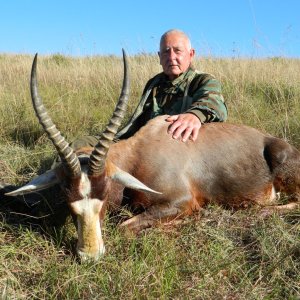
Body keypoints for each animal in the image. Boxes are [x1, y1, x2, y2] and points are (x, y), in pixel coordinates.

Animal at [5, 49, 298, 260]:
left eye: (105, 194)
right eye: (68, 198)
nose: (89, 256)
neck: (139, 153)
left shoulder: (181, 201)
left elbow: (124, 227)